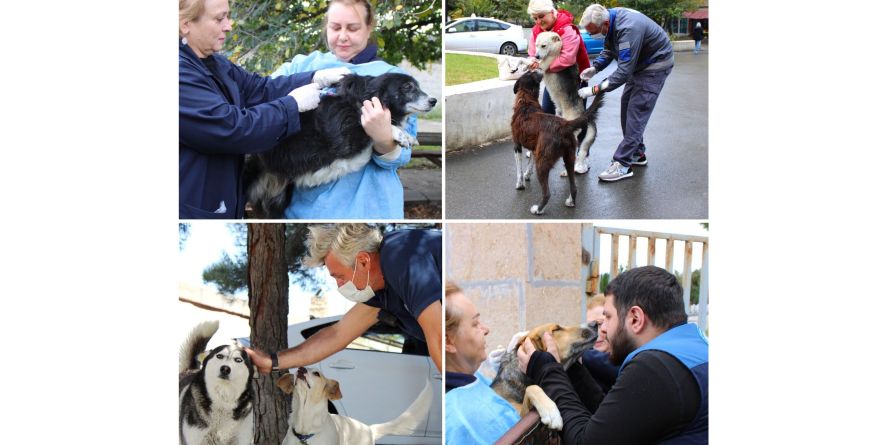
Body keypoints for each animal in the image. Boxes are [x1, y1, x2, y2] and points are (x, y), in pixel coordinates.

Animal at [510, 71, 608, 215]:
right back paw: (570, 202)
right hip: (569, 158)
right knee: (574, 187)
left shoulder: (517, 145)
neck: (526, 100)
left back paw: (538, 209)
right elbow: (529, 163)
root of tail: (564, 125)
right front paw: (527, 175)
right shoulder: (534, 148)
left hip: (543, 162)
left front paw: (520, 184)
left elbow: (519, 169)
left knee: (547, 193)